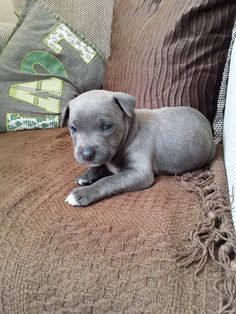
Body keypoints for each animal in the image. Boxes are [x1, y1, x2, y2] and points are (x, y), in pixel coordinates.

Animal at [61, 89, 216, 206]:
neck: (131, 131)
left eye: (107, 127)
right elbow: (100, 166)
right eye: (73, 128)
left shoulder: (140, 173)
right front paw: (86, 176)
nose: (87, 154)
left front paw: (82, 193)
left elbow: (109, 180)